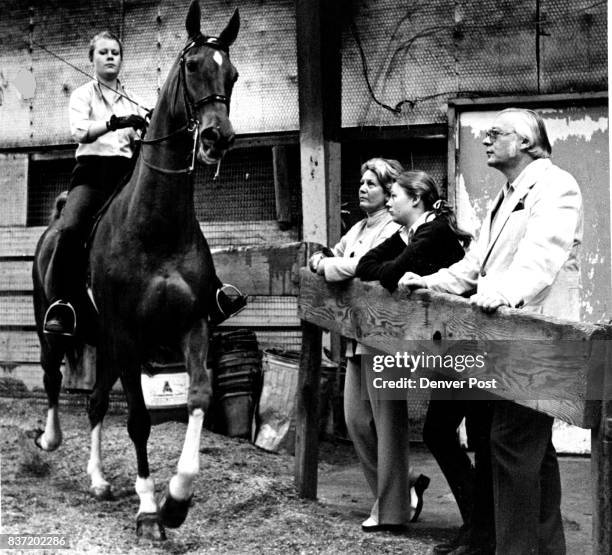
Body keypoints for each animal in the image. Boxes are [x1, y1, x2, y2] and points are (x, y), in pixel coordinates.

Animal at [31, 0, 239, 540]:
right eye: (193, 66)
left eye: (231, 73)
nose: (218, 137)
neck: (156, 225)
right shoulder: (127, 333)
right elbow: (140, 421)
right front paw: (149, 509)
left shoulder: (192, 323)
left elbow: (199, 397)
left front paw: (177, 500)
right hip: (58, 329)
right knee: (53, 378)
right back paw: (49, 440)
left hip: (105, 342)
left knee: (96, 403)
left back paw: (99, 480)